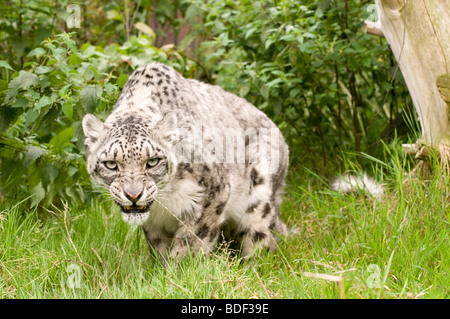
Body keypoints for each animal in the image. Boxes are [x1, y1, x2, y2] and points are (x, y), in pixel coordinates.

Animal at [82, 62, 290, 260]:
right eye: (111, 164)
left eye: (153, 161)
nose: (133, 195)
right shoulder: (154, 222)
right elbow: (159, 246)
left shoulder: (214, 189)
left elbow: (193, 239)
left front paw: (179, 267)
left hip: (259, 193)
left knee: (262, 237)